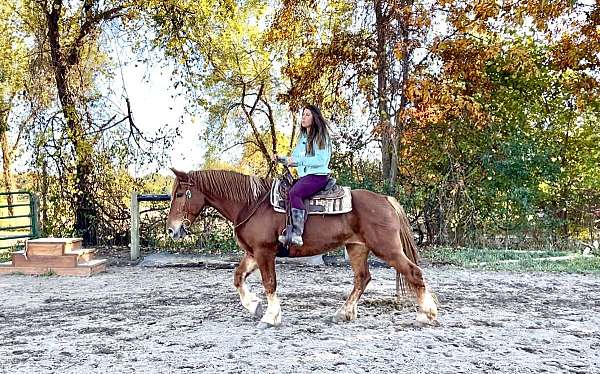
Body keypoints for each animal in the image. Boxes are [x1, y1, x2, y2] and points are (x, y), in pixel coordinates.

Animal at [166, 169, 438, 328]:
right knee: (363, 278)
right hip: (356, 248)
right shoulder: (252, 253)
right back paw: (343, 313)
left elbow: (269, 283)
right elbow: (237, 277)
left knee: (414, 273)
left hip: (387, 249)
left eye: (180, 193)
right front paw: (254, 306)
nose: (171, 230)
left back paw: (426, 314)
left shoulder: (265, 252)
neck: (250, 203)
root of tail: (385, 200)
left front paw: (270, 317)